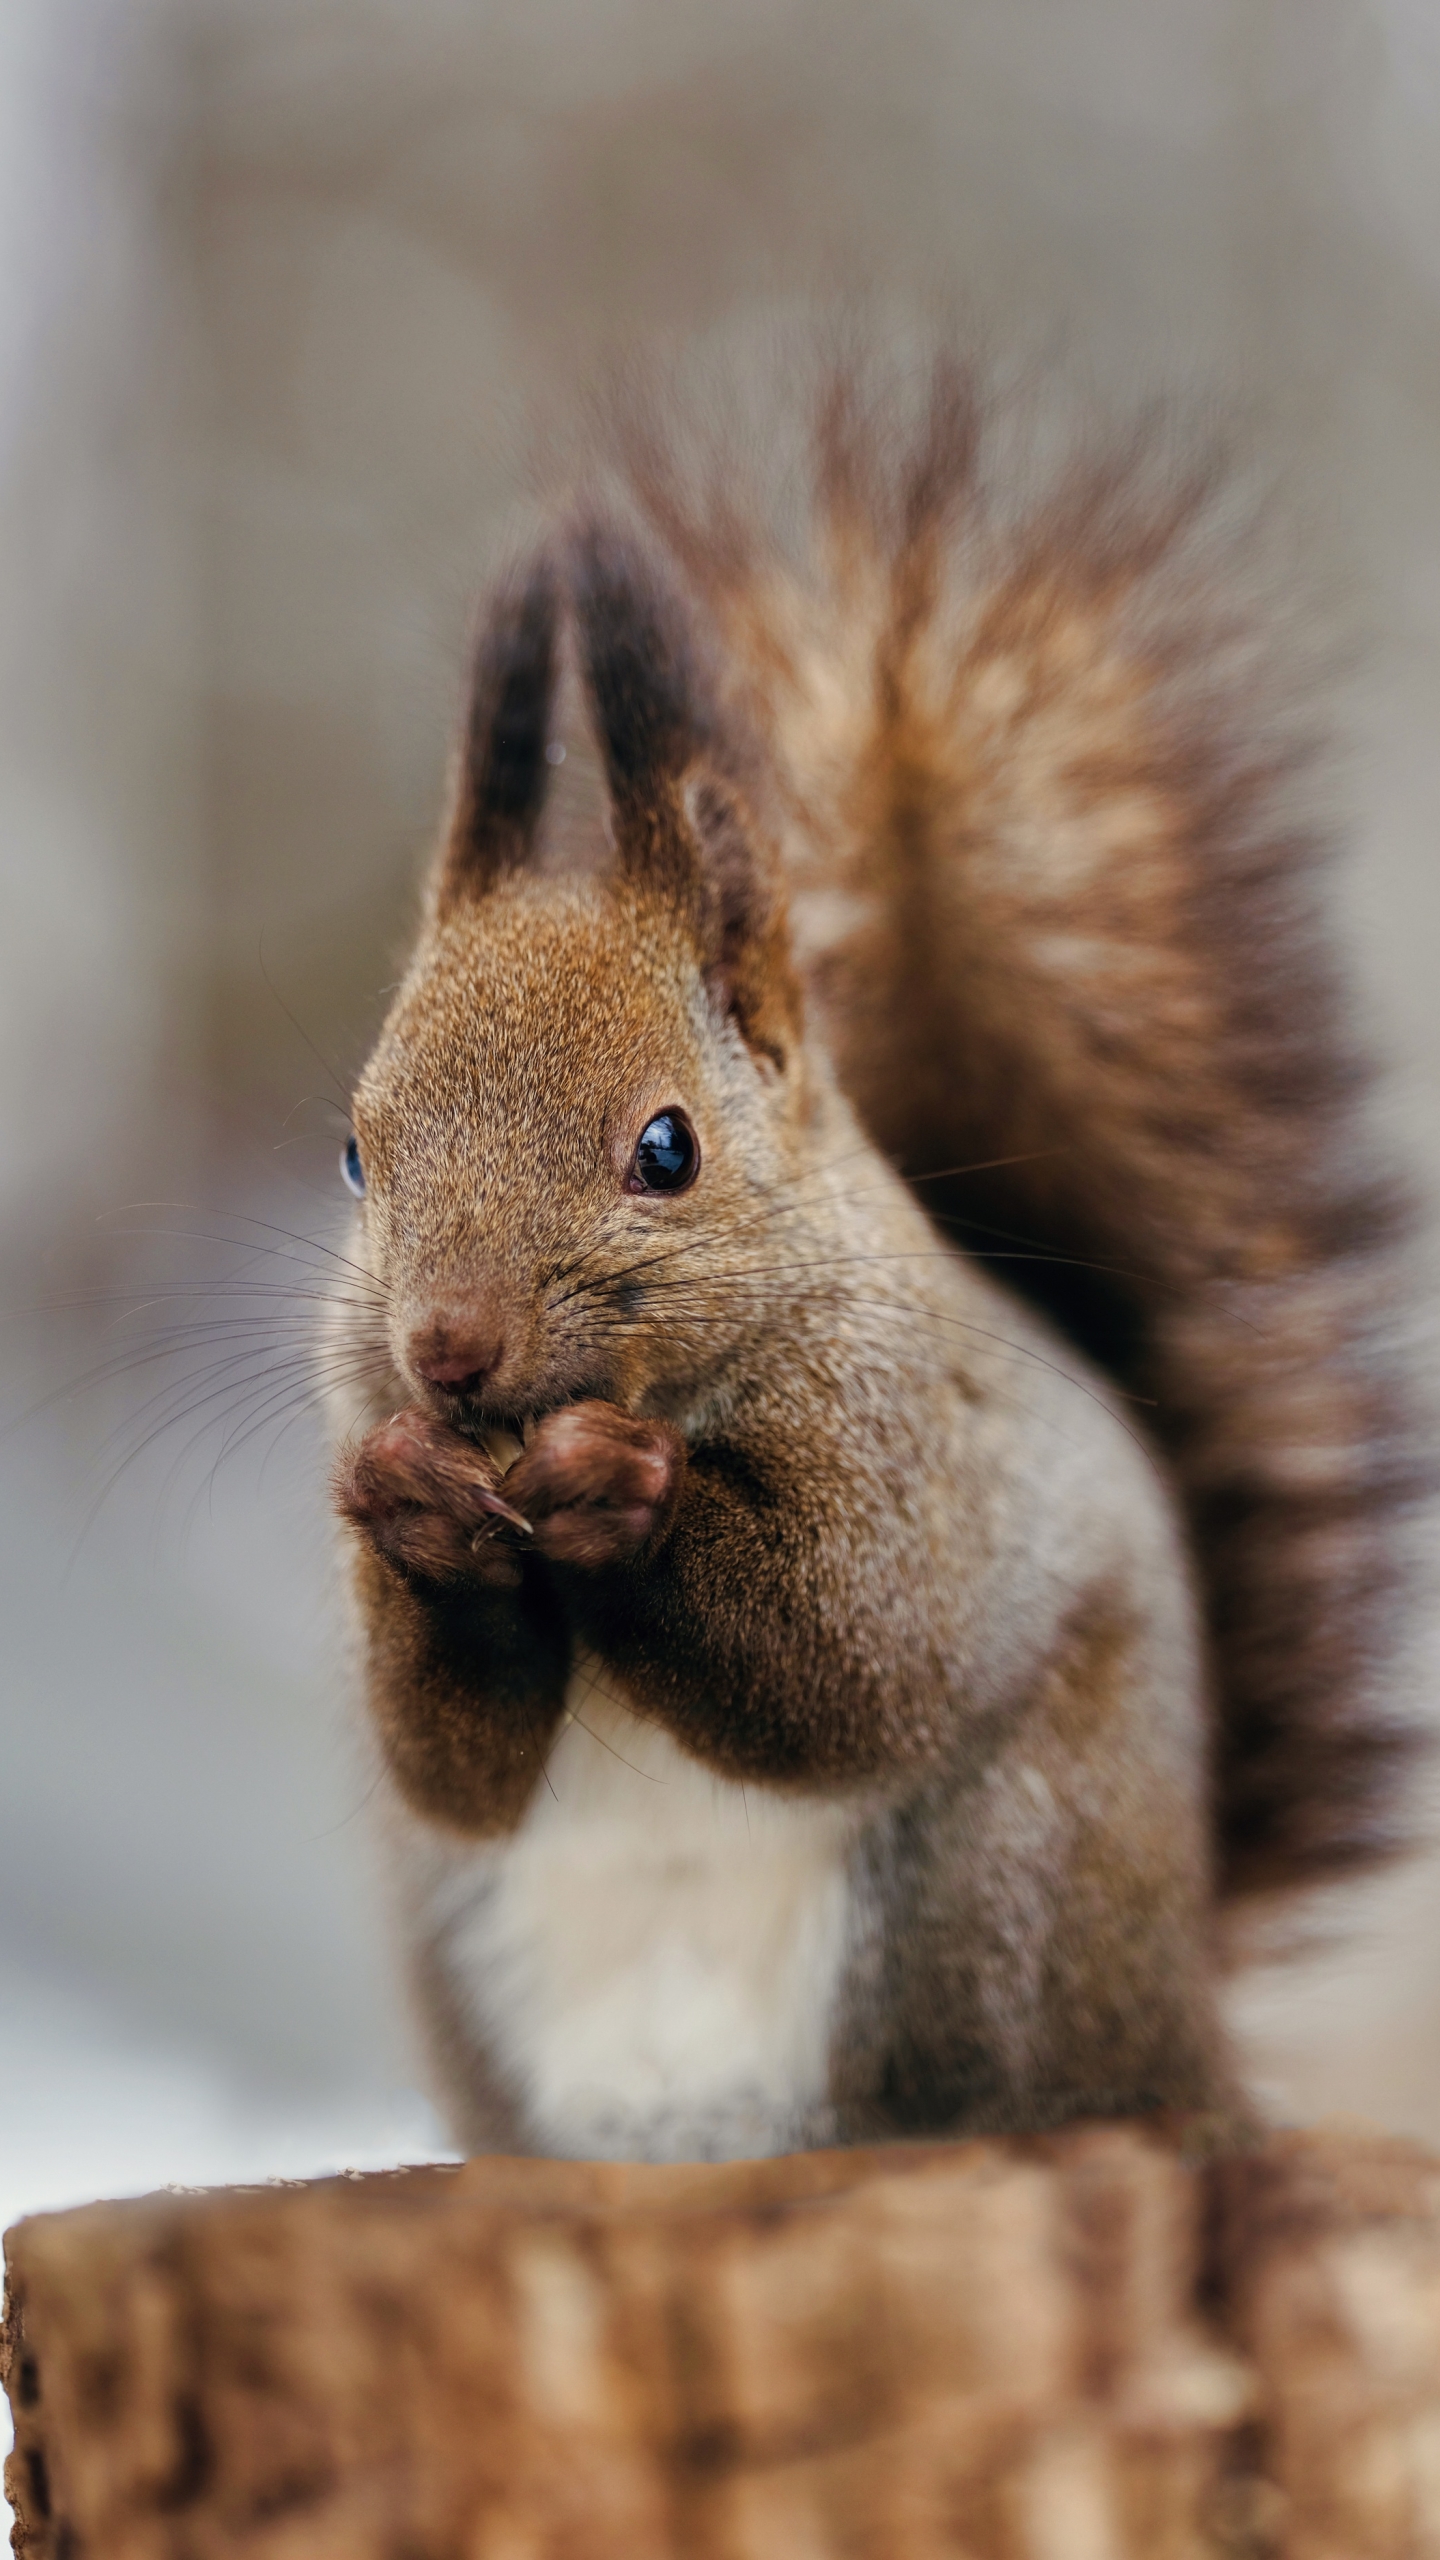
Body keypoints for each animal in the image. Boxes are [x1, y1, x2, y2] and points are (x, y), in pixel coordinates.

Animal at [325, 355, 1414, 2160]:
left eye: (668, 1148)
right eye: (355, 1150)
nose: (447, 1350)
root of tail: (1184, 2038)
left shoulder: (922, 1452)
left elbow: (853, 1660)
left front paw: (627, 1497)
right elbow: (451, 1765)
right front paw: (415, 1503)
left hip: (986, 1903)